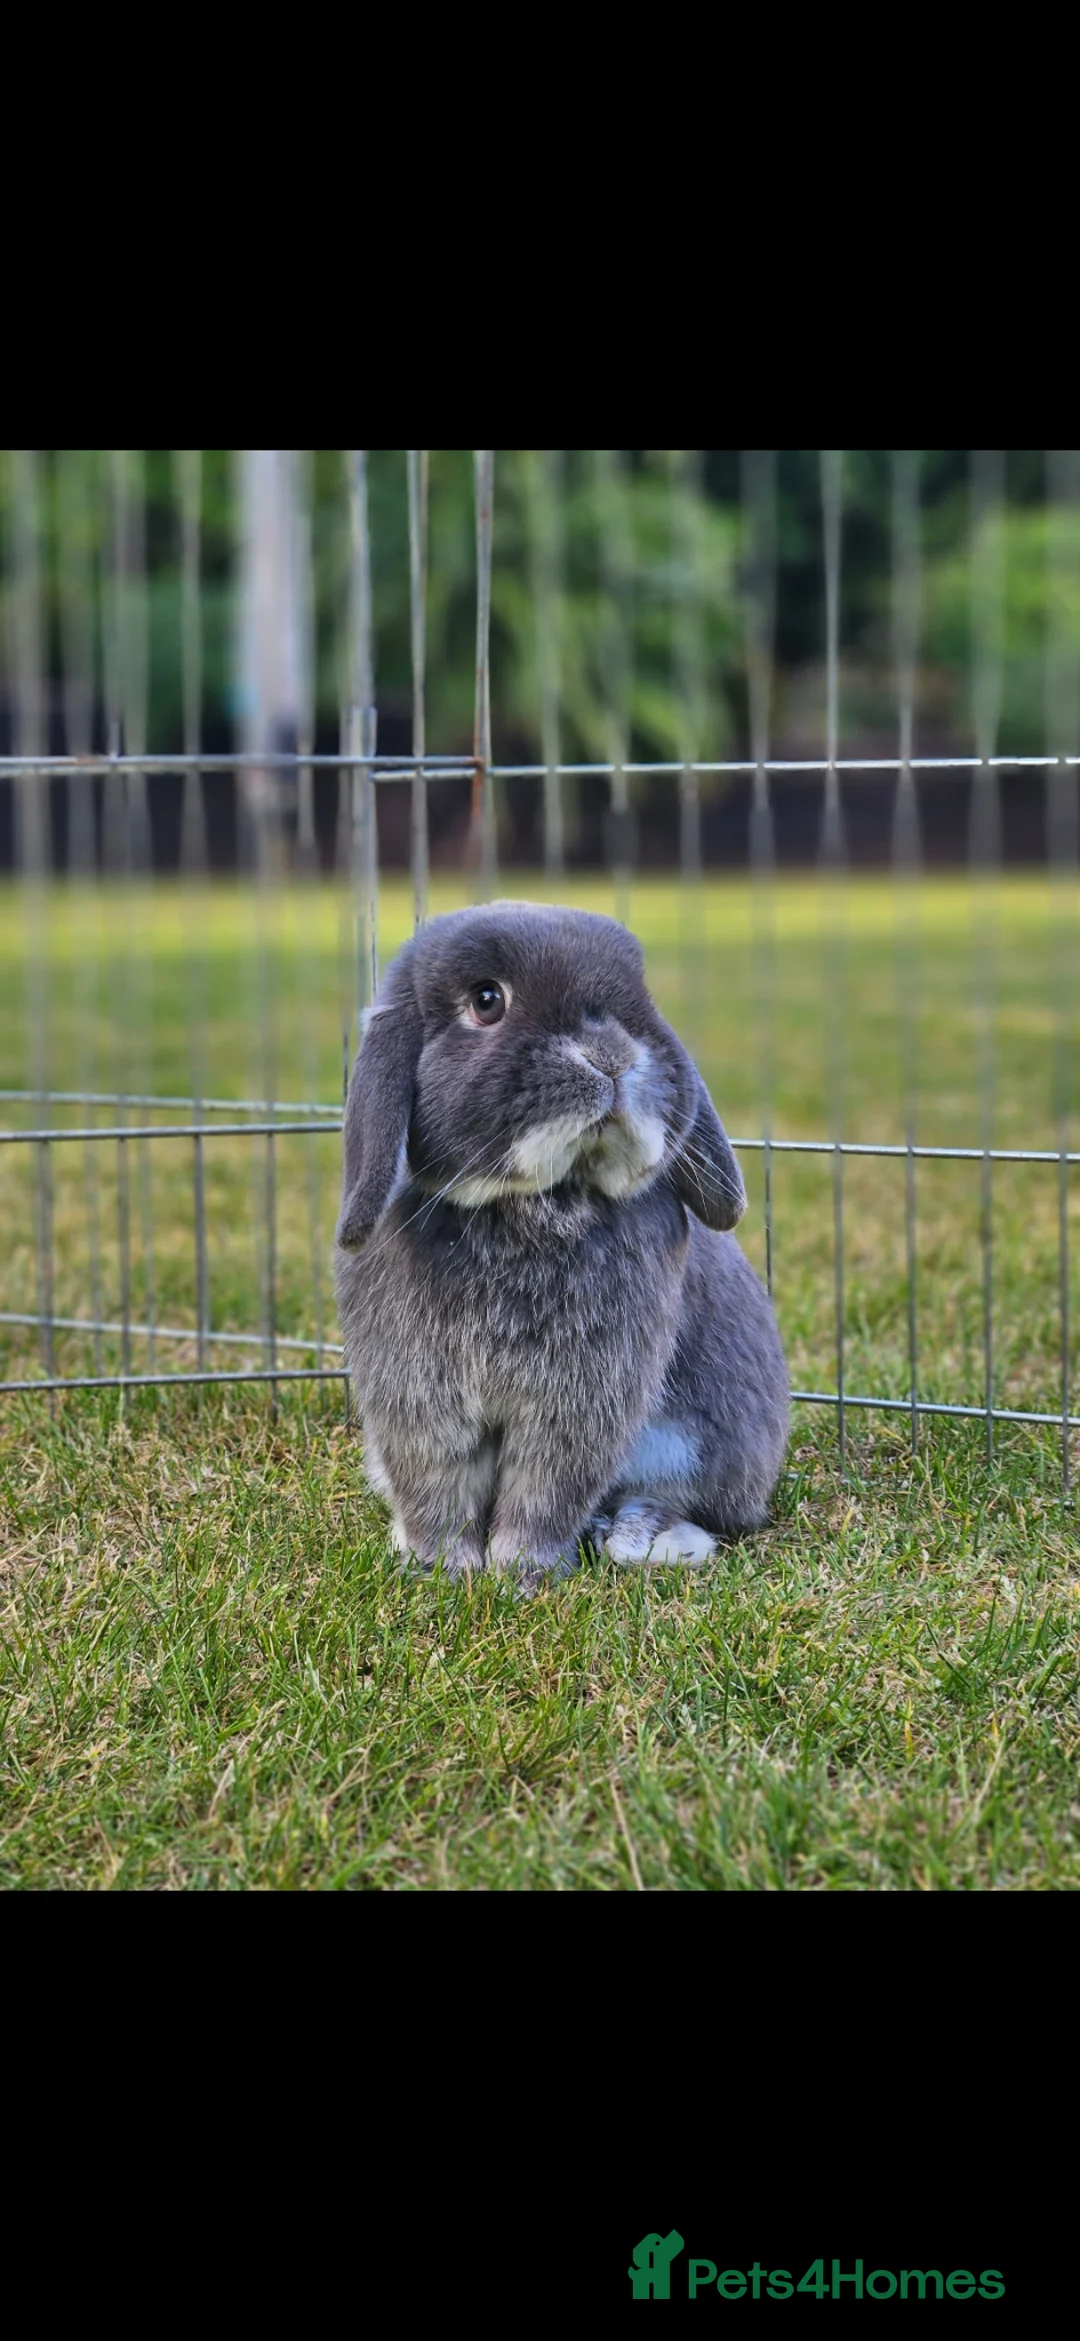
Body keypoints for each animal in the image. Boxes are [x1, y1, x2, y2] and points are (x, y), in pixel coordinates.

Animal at [333, 900, 789, 1590]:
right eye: (487, 1000)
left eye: (639, 997)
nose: (610, 1055)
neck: (528, 1203)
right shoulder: (418, 1395)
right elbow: (437, 1484)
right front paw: (443, 1568)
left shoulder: (581, 1401)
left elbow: (546, 1487)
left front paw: (521, 1572)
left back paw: (640, 1539)